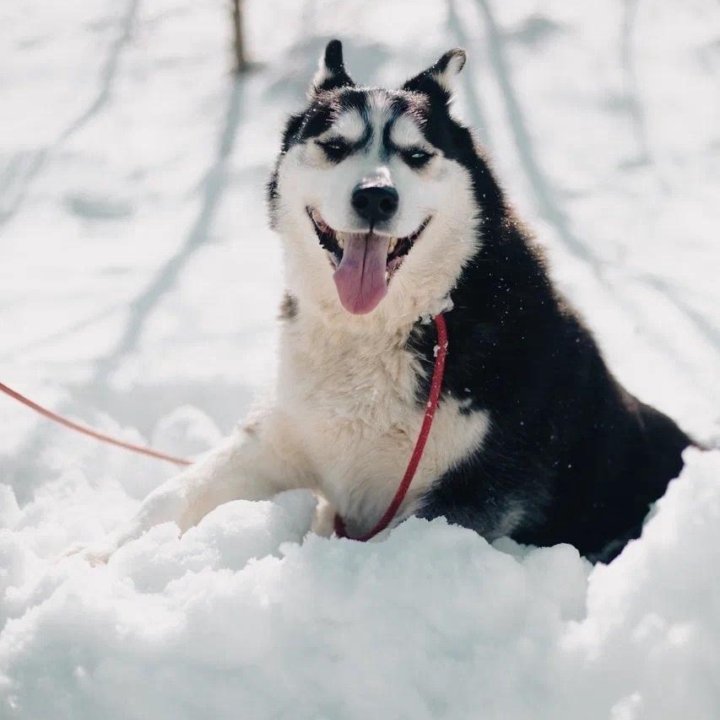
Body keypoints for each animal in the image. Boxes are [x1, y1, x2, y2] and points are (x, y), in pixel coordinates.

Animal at [86, 40, 692, 564]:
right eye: (334, 147)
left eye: (416, 154)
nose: (376, 196)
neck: (377, 331)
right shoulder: (280, 438)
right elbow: (169, 497)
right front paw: (91, 558)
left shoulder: (465, 497)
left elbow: (383, 551)